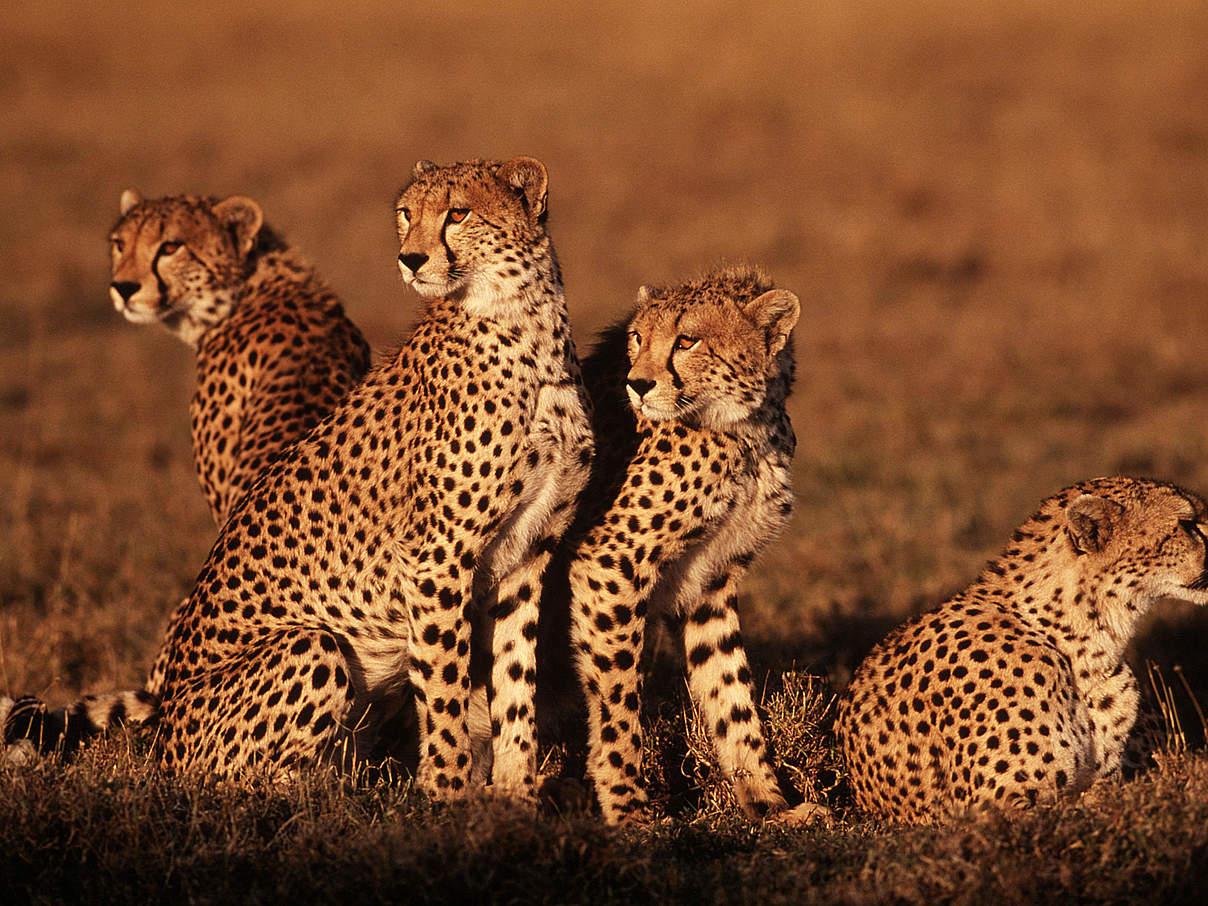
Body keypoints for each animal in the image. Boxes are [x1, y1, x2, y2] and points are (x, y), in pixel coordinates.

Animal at [567, 265, 831, 826]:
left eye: (686, 341)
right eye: (637, 338)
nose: (638, 384)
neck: (745, 429)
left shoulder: (711, 575)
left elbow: (729, 690)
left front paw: (768, 804)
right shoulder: (609, 562)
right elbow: (618, 698)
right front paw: (628, 810)